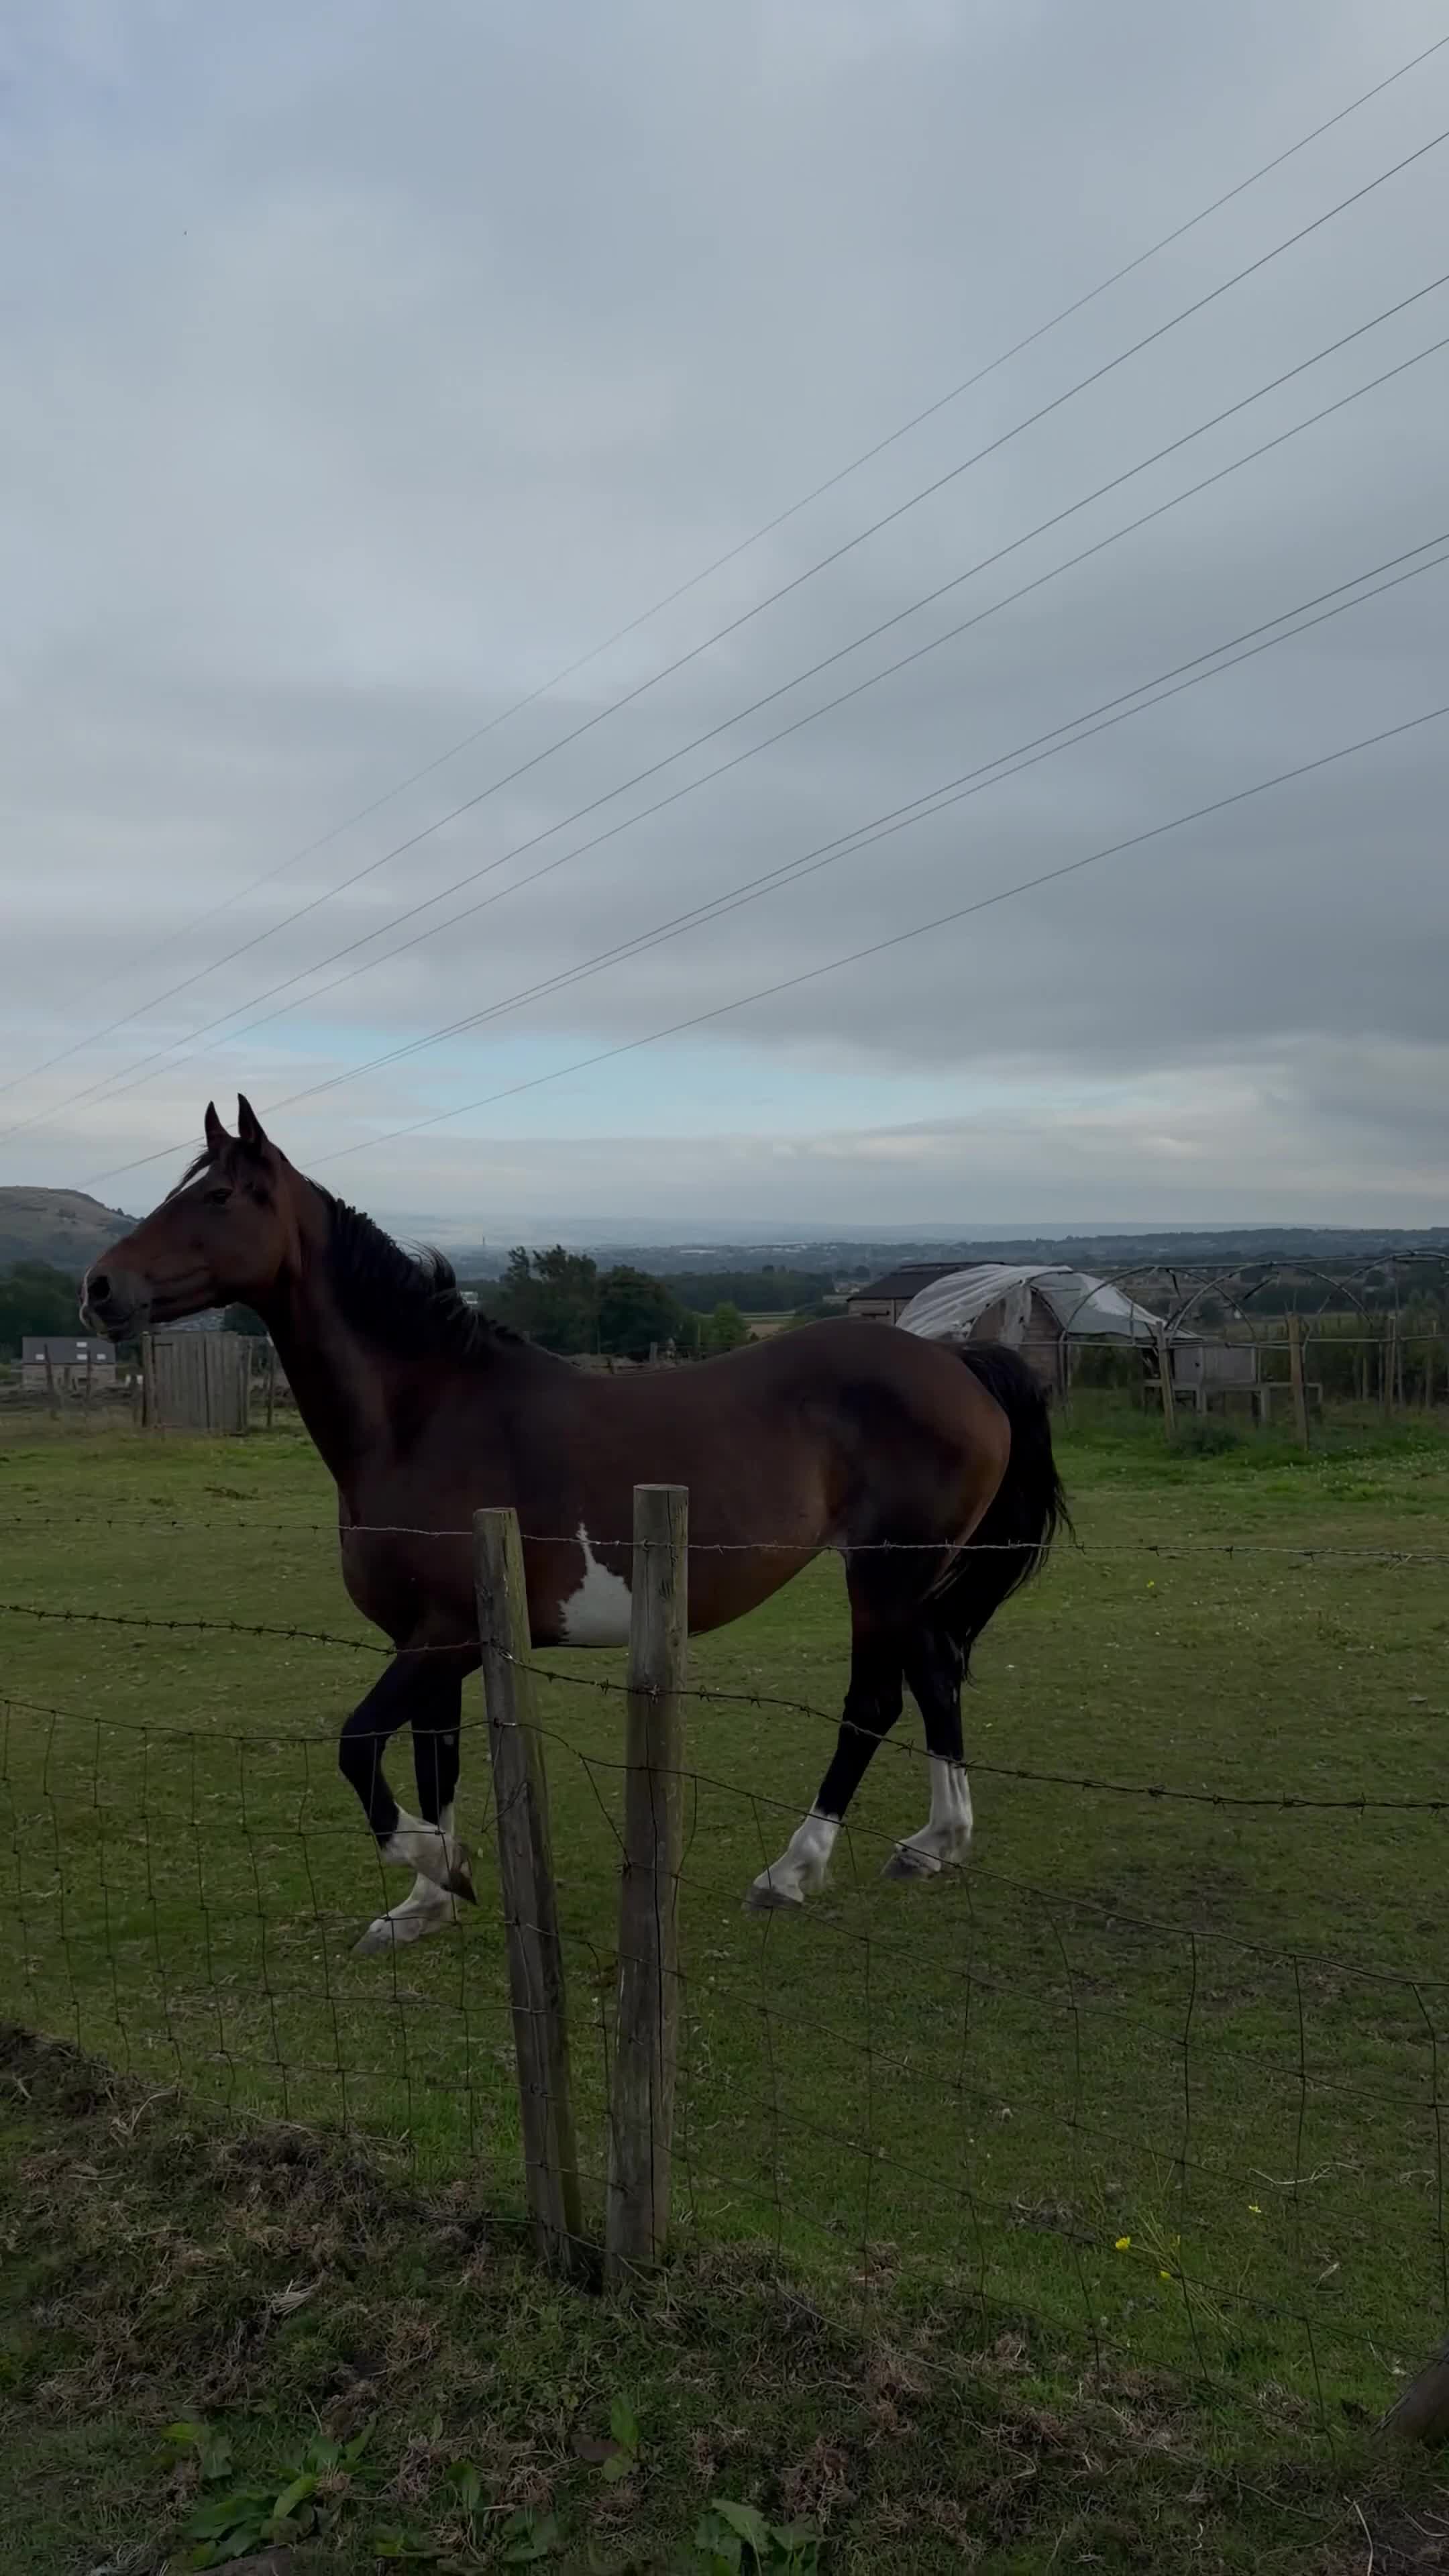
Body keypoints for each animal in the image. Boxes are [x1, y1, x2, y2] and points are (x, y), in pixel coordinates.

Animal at [82, 1098, 1067, 1956]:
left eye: (216, 1195)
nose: (99, 1288)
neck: (424, 1416)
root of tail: (958, 1364)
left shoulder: (445, 1637)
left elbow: (361, 1747)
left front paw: (443, 1866)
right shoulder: (433, 1642)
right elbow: (434, 1763)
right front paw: (423, 1905)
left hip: (884, 1573)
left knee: (876, 1702)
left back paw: (792, 1871)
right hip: (910, 1580)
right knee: (937, 1678)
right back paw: (934, 1845)